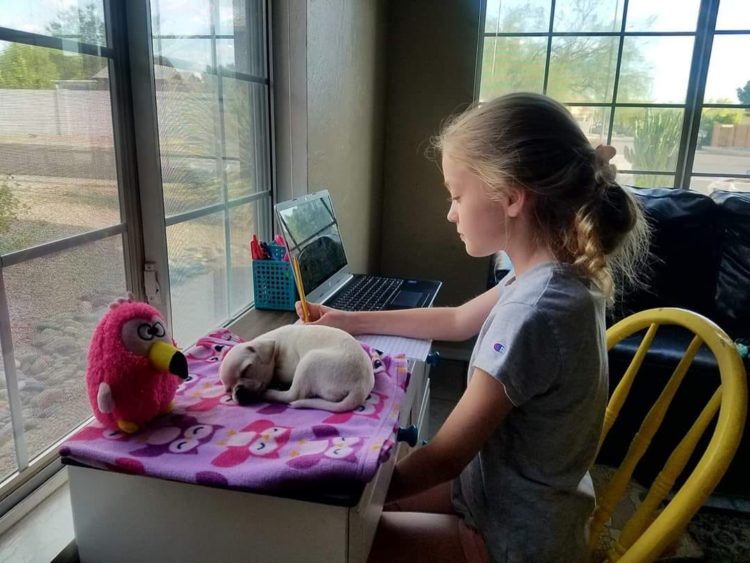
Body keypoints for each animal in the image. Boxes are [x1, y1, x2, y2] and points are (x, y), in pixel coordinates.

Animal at [222, 324, 376, 412]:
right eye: (228, 390)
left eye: (246, 370)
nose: (239, 392)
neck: (276, 347)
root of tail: (360, 388)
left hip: (308, 361)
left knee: (292, 395)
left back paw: (268, 393)